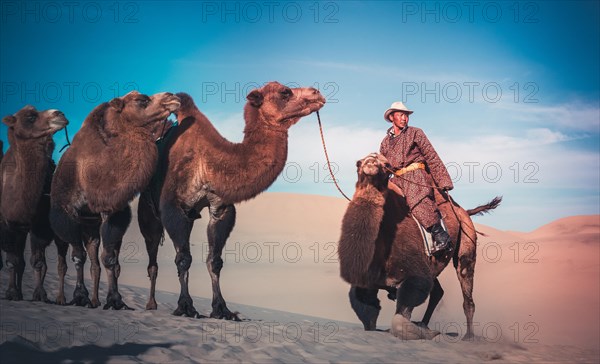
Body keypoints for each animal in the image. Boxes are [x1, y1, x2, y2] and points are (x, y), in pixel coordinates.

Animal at [0, 105, 69, 302]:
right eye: (30, 117)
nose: (60, 113)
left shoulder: (38, 225)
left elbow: (38, 262)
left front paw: (40, 294)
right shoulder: (8, 225)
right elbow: (12, 261)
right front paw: (11, 293)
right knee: (19, 261)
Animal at [48, 91, 180, 310]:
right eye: (141, 100)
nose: (172, 97)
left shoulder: (113, 211)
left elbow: (110, 259)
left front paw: (115, 300)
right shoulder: (69, 213)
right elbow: (78, 256)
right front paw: (80, 296)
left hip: (91, 226)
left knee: (95, 259)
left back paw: (95, 300)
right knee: (69, 259)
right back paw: (69, 298)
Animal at [138, 80, 326, 318]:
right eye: (285, 92)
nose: (317, 93)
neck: (209, 161)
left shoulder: (221, 208)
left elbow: (214, 261)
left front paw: (222, 309)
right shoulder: (174, 206)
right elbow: (184, 258)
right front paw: (186, 306)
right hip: (148, 210)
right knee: (151, 254)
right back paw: (148, 303)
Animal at [338, 154, 502, 342]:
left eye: (386, 165)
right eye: (358, 163)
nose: (371, 160)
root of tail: (465, 212)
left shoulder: (415, 274)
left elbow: (400, 319)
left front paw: (426, 333)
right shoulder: (367, 284)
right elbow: (368, 317)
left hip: (466, 244)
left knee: (466, 288)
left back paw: (468, 337)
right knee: (438, 291)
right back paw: (424, 323)